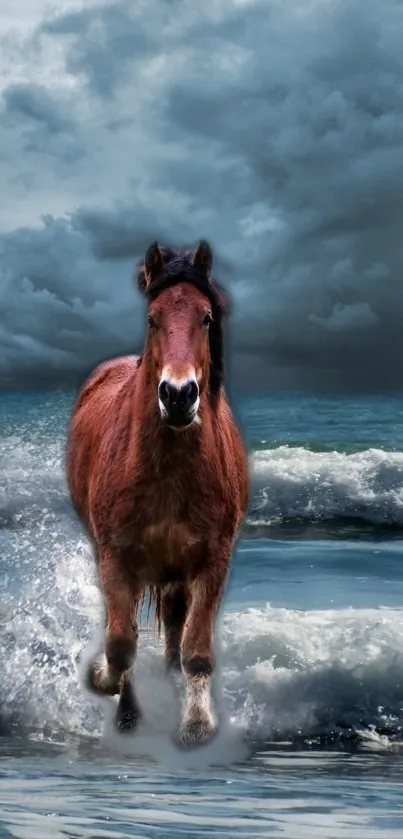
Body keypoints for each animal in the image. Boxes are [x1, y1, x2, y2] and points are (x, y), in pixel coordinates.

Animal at [66, 238, 249, 748]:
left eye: (205, 318)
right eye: (153, 318)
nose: (179, 395)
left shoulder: (212, 561)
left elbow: (196, 649)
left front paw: (197, 723)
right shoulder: (116, 558)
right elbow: (120, 643)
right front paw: (103, 684)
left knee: (173, 632)